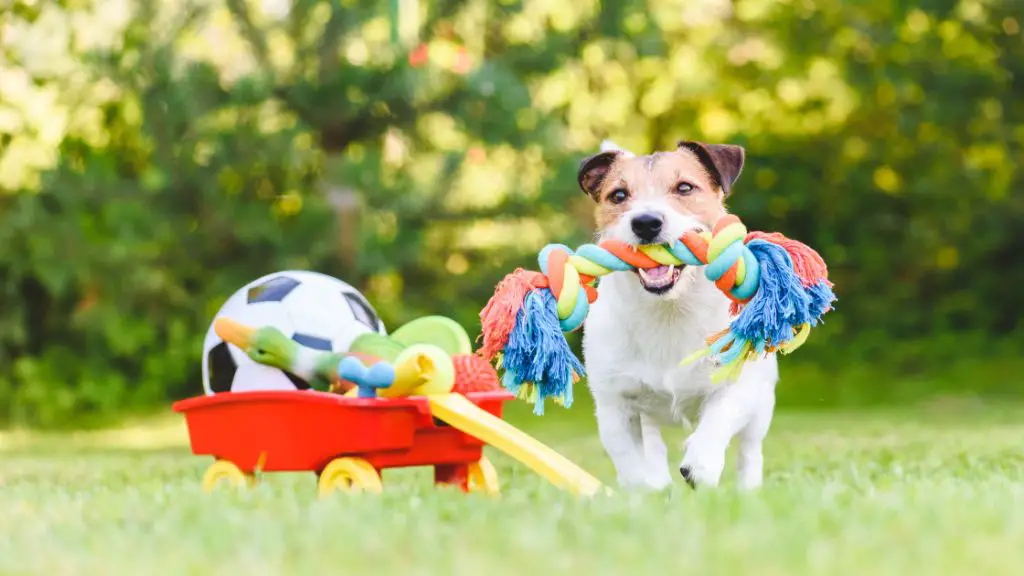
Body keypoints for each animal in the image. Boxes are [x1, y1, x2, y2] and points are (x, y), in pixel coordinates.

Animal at [577, 139, 774, 487]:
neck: (668, 310)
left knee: (749, 451)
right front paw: (644, 490)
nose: (645, 222)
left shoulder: (738, 384)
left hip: (762, 405)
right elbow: (630, 462)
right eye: (618, 195)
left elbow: (719, 415)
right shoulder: (615, 405)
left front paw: (701, 463)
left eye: (684, 187)